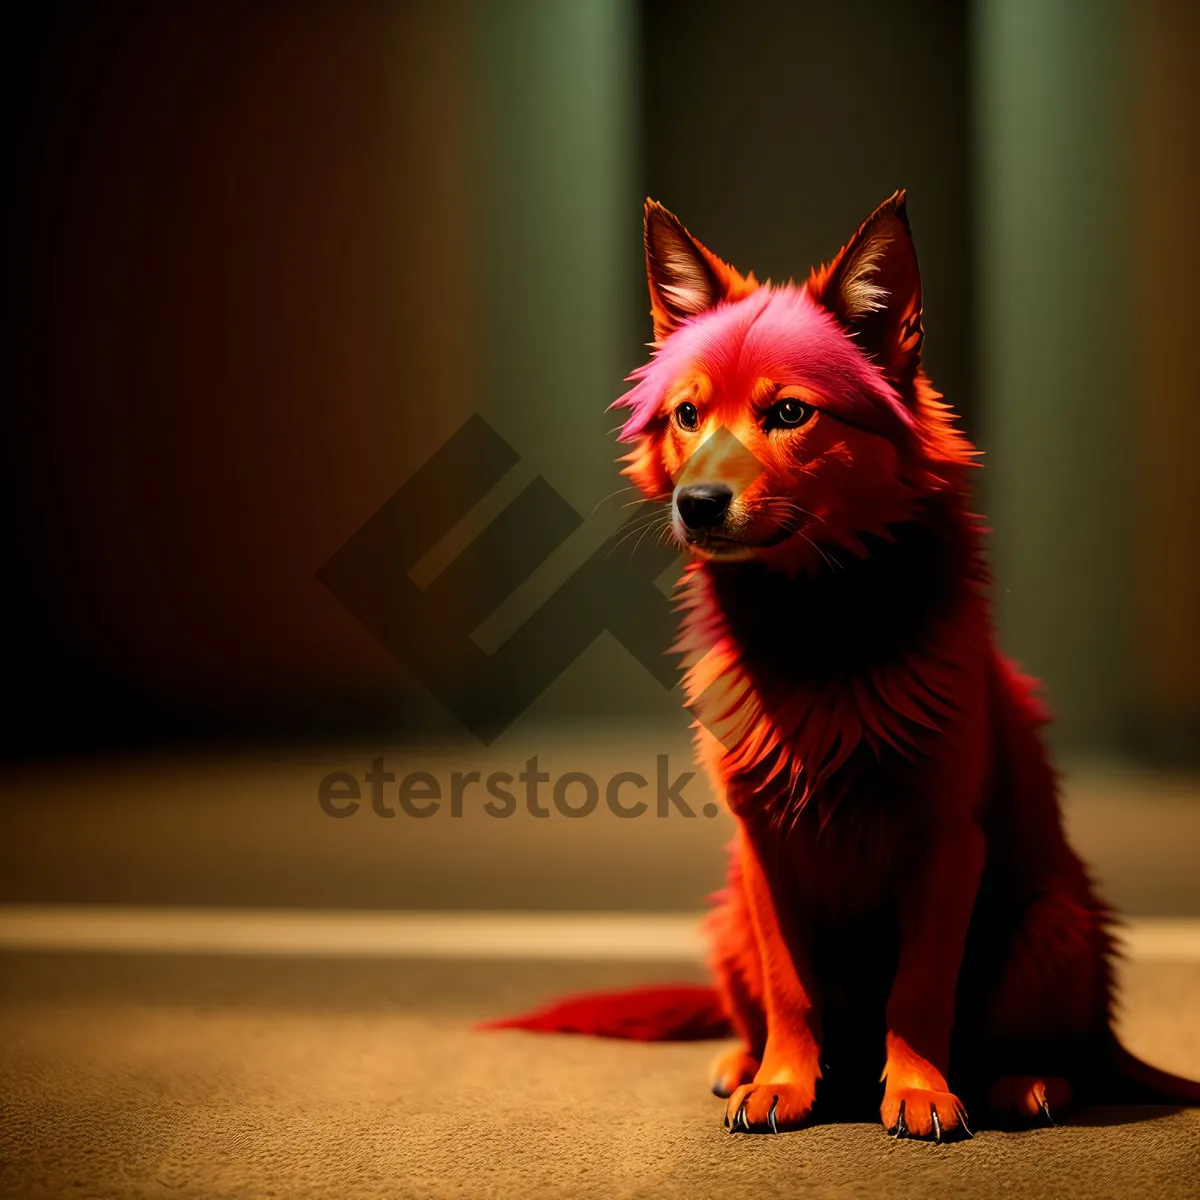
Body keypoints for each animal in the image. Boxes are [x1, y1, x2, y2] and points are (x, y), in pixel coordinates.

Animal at [487, 192, 1200, 1137]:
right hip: (728, 915)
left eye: (791, 413)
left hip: (1052, 928)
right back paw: (743, 1059)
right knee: (761, 1009)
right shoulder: (764, 846)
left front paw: (922, 1089)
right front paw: (784, 1082)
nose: (696, 504)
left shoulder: (944, 842)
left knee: (1065, 1055)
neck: (817, 626)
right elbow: (792, 990)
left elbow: (920, 988)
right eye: (686, 415)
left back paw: (1026, 1081)